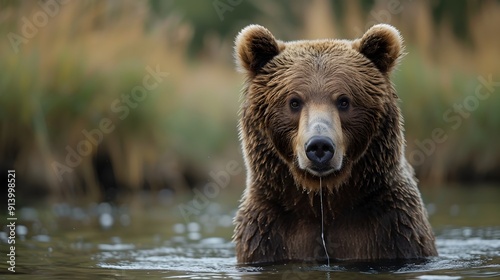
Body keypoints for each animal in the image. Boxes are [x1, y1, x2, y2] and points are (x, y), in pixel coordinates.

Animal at [232, 24, 436, 264]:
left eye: (344, 101)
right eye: (294, 102)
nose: (319, 145)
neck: (324, 202)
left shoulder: (391, 227)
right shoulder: (267, 230)